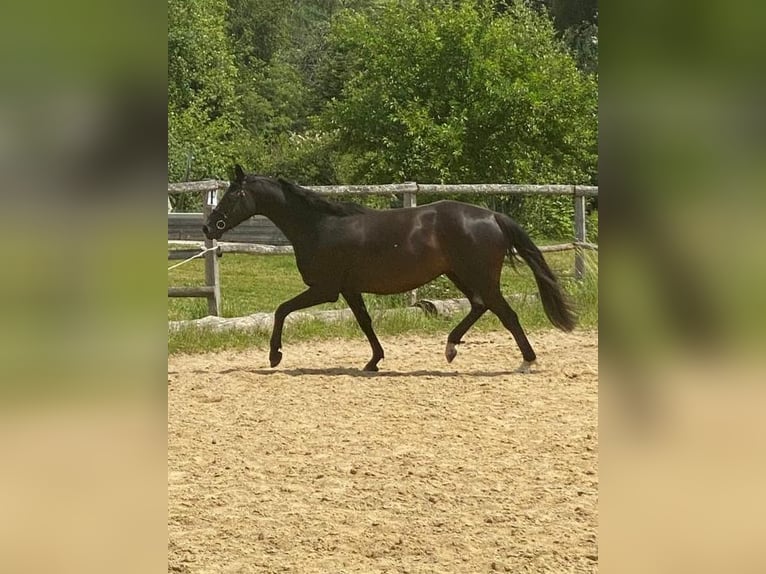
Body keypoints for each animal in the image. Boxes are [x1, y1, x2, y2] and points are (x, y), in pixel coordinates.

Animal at [203, 165, 576, 372]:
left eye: (232, 195)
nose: (209, 226)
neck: (319, 226)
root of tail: (493, 216)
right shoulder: (349, 289)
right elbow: (365, 322)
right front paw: (374, 361)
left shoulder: (325, 289)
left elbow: (281, 310)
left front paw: (274, 356)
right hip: (460, 275)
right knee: (480, 306)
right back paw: (451, 347)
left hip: (479, 276)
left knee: (506, 314)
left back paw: (526, 361)